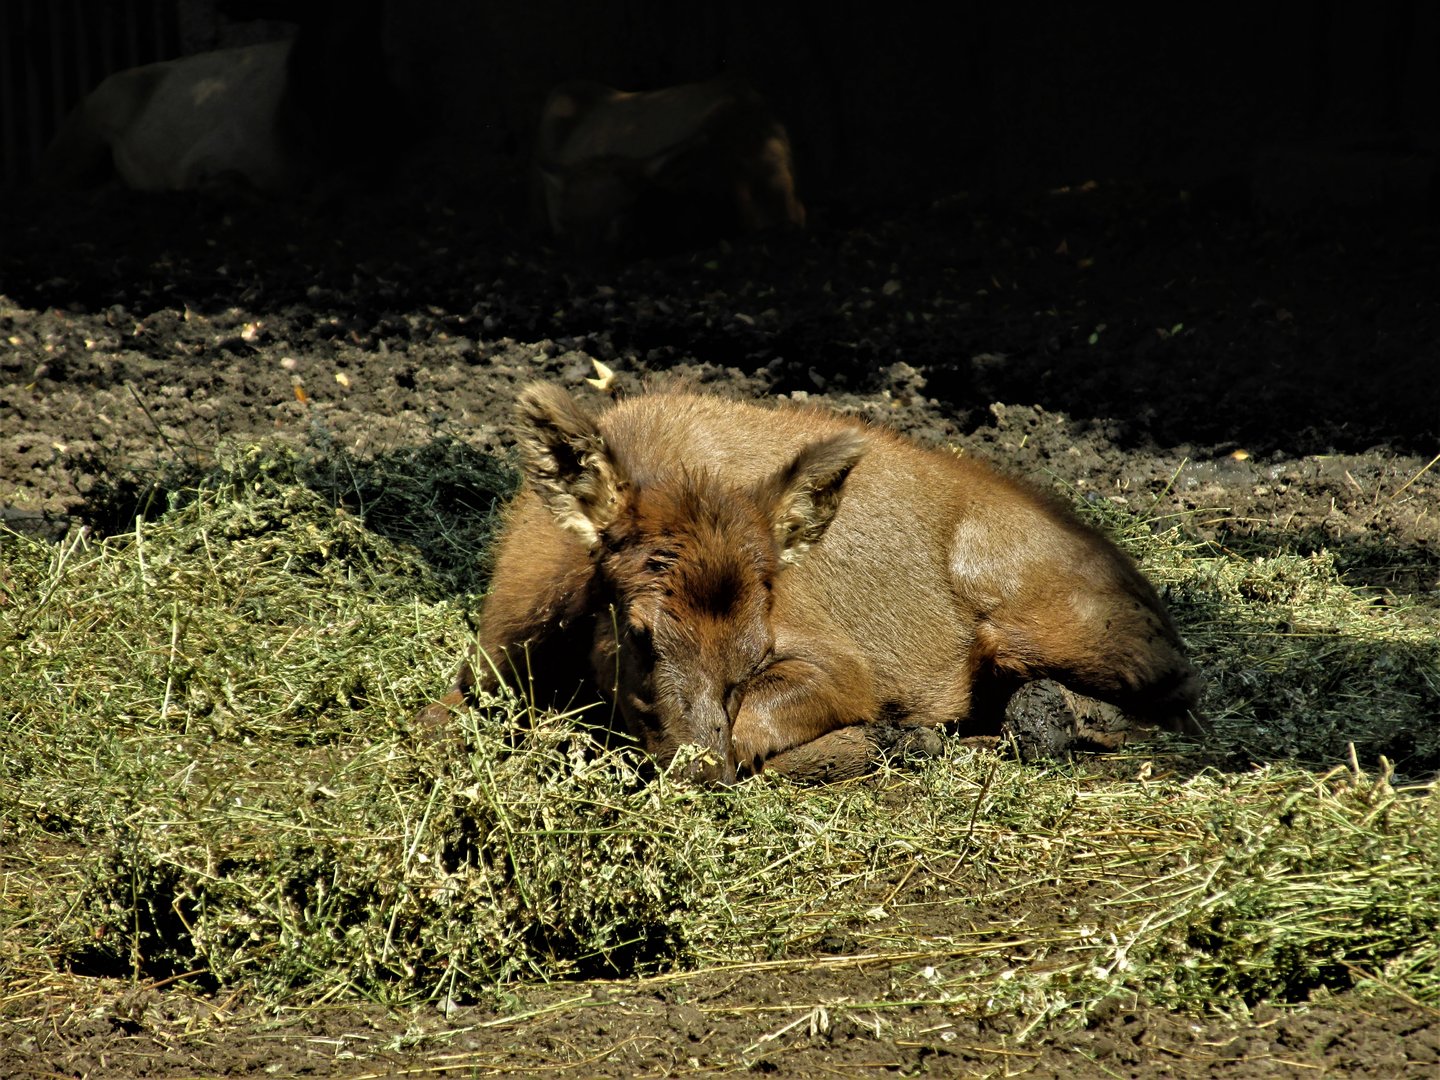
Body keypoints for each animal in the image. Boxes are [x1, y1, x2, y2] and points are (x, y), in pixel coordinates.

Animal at [422, 385, 1204, 784]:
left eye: (755, 645)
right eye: (638, 631)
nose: (699, 766)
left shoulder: (837, 659)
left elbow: (767, 716)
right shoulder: (486, 661)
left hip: (1027, 620)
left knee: (1165, 704)